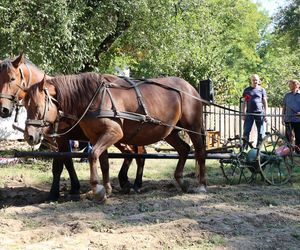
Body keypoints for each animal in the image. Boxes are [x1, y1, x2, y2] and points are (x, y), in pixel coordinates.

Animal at [0, 53, 145, 200]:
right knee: (131, 154)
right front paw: (73, 188)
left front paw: (56, 192)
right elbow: (67, 162)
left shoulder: (61, 139)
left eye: (12, 78)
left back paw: (136, 184)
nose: (3, 109)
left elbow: (60, 164)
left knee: (139, 155)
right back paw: (125, 181)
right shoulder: (59, 141)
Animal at [23, 71, 207, 200]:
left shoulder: (113, 133)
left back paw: (202, 185)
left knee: (199, 152)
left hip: (193, 127)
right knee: (184, 149)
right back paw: (181, 181)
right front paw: (107, 189)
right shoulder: (97, 137)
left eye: (38, 107)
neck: (94, 97)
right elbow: (103, 162)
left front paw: (97, 189)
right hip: (169, 132)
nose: (29, 136)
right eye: (25, 105)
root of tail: (190, 88)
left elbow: (92, 155)